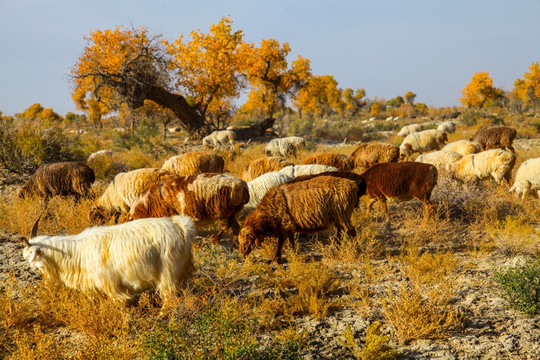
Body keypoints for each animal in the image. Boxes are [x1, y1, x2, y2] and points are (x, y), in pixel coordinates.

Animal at [23, 212, 196, 308]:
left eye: (31, 255)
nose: (32, 271)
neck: (77, 253)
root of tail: (181, 227)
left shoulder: (112, 287)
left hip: (168, 274)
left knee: (170, 299)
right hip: (183, 273)